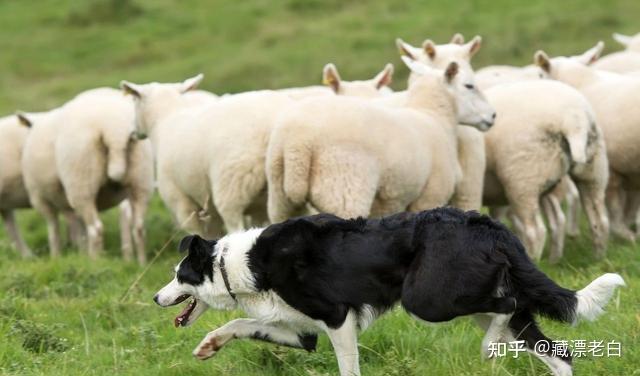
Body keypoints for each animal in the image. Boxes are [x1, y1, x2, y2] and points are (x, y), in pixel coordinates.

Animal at [20, 88, 153, 262]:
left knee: (95, 228)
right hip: (141, 179)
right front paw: (78, 251)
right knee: (139, 227)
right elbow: (77, 228)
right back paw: (140, 263)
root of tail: (113, 129)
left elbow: (54, 229)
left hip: (81, 180)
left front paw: (56, 257)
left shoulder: (39, 198)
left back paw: (95, 261)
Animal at [155, 209, 624, 376]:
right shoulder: (302, 331)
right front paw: (209, 346)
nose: (157, 298)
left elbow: (348, 368)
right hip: (470, 300)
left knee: (505, 308)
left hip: (428, 300)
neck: (238, 263)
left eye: (179, 275)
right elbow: (240, 322)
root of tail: (486, 223)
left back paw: (489, 349)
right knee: (558, 353)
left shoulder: (337, 317)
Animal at [264, 58, 496, 223]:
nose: (493, 115)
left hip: (280, 198)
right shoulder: (430, 196)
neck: (433, 116)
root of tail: (297, 142)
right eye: (469, 86)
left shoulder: (385, 205)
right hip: (344, 190)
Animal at [482, 78, 608, 262]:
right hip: (592, 170)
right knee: (599, 220)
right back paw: (597, 258)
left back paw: (535, 261)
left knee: (536, 232)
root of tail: (573, 118)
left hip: (523, 179)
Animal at [536, 41, 640, 244]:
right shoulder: (629, 169)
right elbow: (629, 206)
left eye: (541, 76)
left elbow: (614, 208)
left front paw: (625, 234)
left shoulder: (611, 168)